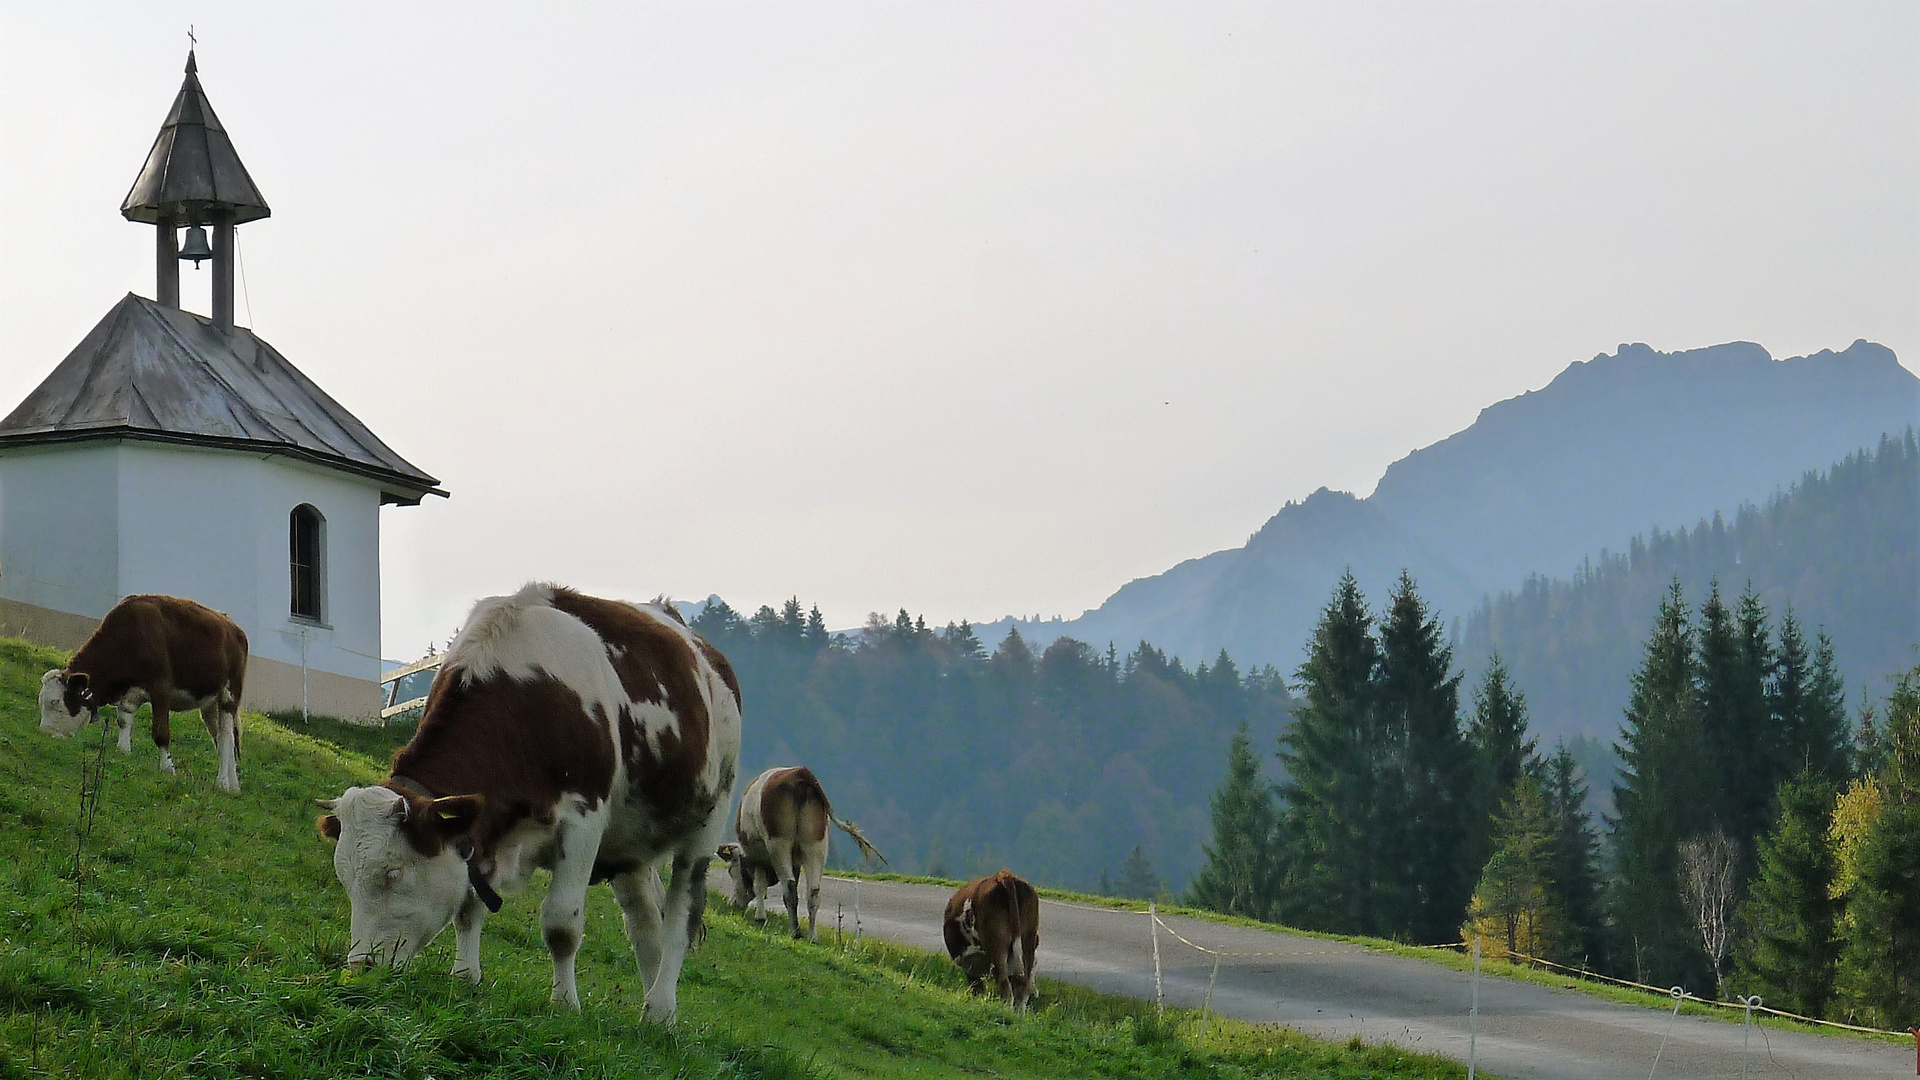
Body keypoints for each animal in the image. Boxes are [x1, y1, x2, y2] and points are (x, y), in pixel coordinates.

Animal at [37, 588, 245, 791]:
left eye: (55, 702)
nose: (44, 732)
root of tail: (233, 626)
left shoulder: (161, 688)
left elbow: (161, 733)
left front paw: (168, 769)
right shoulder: (128, 695)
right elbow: (123, 722)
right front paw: (123, 751)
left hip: (229, 697)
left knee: (226, 739)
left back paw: (222, 783)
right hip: (209, 705)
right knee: (221, 738)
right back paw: (233, 786)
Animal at [311, 580, 737, 1014]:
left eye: (393, 873)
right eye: (344, 877)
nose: (360, 966)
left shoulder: (584, 818)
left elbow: (561, 924)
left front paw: (564, 1004)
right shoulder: (482, 829)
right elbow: (468, 905)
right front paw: (465, 977)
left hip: (708, 820)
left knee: (679, 917)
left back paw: (661, 1008)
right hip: (630, 846)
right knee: (644, 923)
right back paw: (653, 1008)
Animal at [718, 764, 887, 933]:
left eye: (731, 871)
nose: (733, 903)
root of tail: (799, 773)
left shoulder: (757, 858)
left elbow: (759, 885)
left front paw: (760, 917)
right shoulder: (795, 862)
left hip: (779, 844)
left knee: (790, 888)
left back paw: (795, 931)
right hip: (816, 845)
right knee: (813, 892)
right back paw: (812, 935)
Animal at [940, 864, 1036, 1006]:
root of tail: (1003, 875)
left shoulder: (970, 966)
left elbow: (977, 988)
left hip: (996, 944)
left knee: (1004, 986)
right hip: (1028, 941)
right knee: (1022, 988)